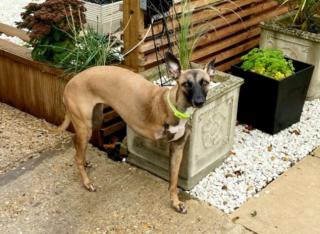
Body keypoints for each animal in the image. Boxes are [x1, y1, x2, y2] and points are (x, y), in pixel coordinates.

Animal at [43, 52, 215, 213]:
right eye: (186, 84)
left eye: (205, 82)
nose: (199, 102)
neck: (176, 108)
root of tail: (71, 82)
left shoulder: (177, 148)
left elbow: (173, 182)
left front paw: (176, 203)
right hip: (85, 126)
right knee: (77, 155)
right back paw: (87, 182)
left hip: (93, 120)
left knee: (75, 140)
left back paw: (84, 161)